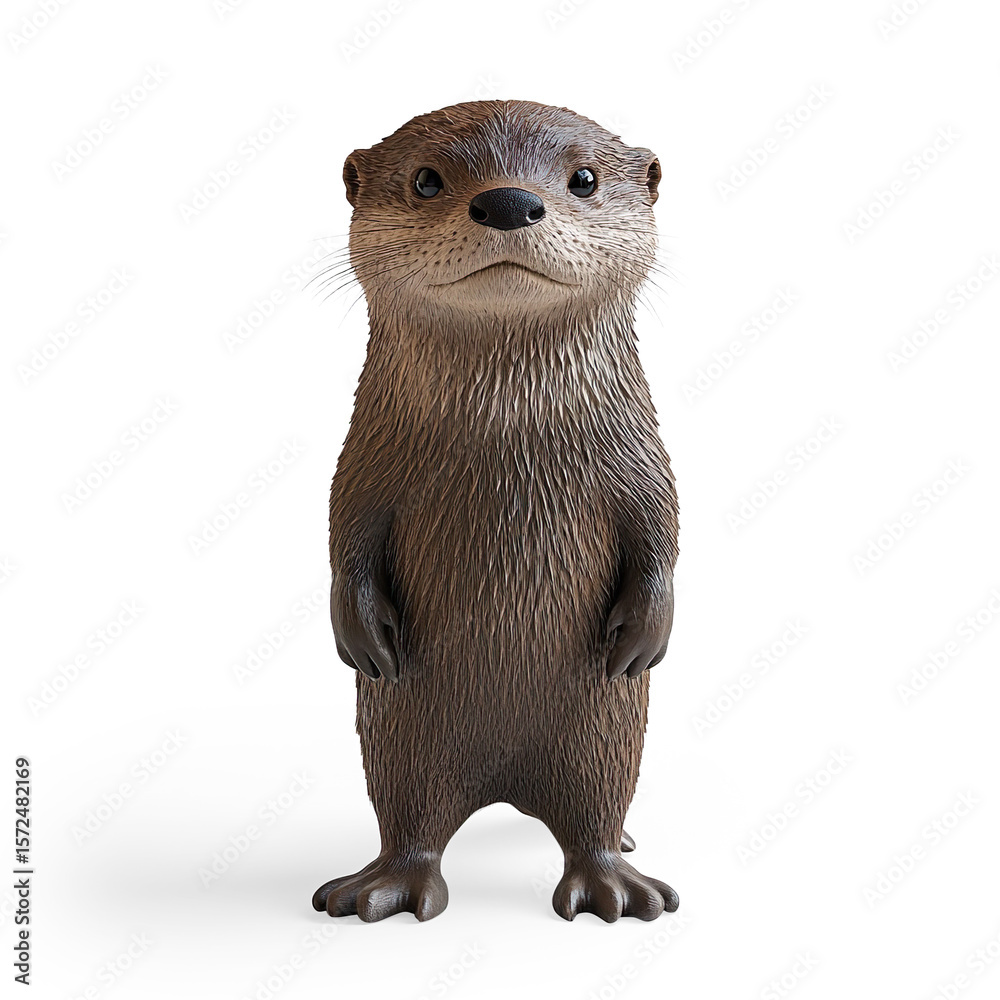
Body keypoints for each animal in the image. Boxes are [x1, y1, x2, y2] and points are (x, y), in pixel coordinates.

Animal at [312, 100, 679, 923]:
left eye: (584, 178)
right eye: (426, 179)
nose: (509, 201)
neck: (508, 426)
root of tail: (505, 788)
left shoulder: (638, 452)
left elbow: (662, 527)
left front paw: (649, 626)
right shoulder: (366, 458)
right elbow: (343, 532)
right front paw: (358, 630)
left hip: (603, 725)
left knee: (595, 808)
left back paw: (614, 882)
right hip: (405, 730)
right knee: (411, 812)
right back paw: (384, 887)